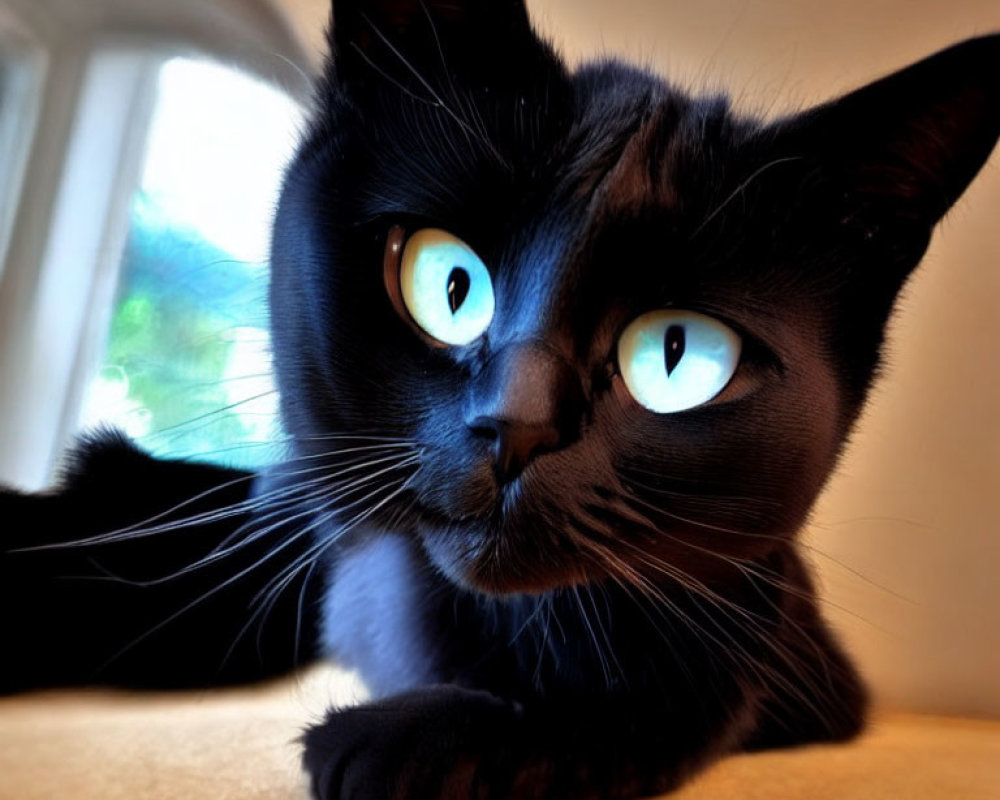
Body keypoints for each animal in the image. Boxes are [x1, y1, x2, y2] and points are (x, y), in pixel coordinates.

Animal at [1, 0, 1000, 796]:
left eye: (678, 355)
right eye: (451, 283)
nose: (515, 427)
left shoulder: (781, 649)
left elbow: (654, 694)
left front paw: (398, 742)